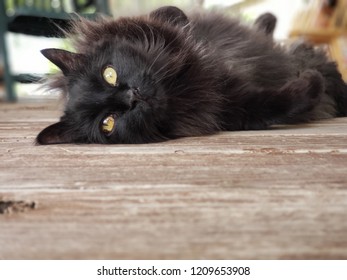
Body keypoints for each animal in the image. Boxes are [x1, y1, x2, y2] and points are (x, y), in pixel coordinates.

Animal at [36, 6, 347, 144]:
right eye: (108, 122)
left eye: (109, 74)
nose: (131, 97)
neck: (184, 92)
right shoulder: (239, 109)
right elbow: (286, 102)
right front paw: (310, 80)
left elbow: (170, 18)